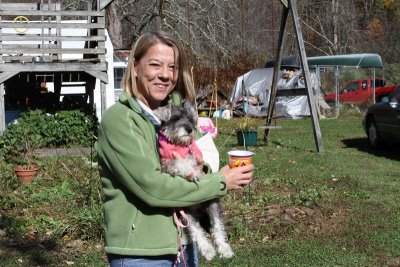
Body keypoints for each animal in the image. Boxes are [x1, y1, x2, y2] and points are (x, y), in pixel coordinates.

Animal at [154, 104, 234, 262]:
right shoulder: (166, 163)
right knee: (197, 232)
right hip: (186, 214)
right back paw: (208, 251)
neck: (178, 144)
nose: (189, 129)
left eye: (191, 120)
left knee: (218, 228)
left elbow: (190, 159)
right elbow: (180, 162)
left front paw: (195, 172)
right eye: (176, 117)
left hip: (212, 206)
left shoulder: (195, 155)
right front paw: (192, 172)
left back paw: (225, 249)